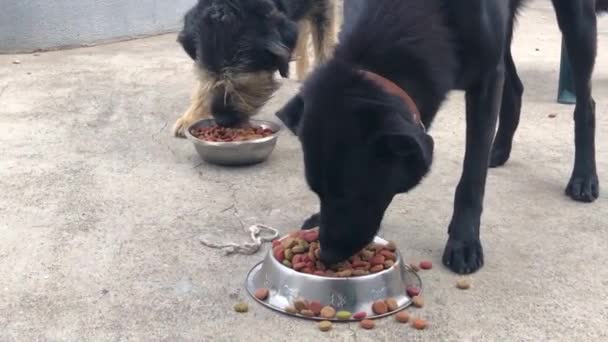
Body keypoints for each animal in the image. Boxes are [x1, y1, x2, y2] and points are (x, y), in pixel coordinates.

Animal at [172, 0, 338, 136]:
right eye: (207, 75)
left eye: (243, 83)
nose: (223, 120)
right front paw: (192, 115)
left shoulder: (325, 7)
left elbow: (325, 51)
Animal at [278, 0, 604, 274]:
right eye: (318, 191)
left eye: (354, 193)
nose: (327, 255)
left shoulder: (486, 79)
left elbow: (472, 176)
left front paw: (464, 241)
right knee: (514, 87)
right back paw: (499, 150)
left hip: (576, 21)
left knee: (586, 104)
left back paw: (584, 177)